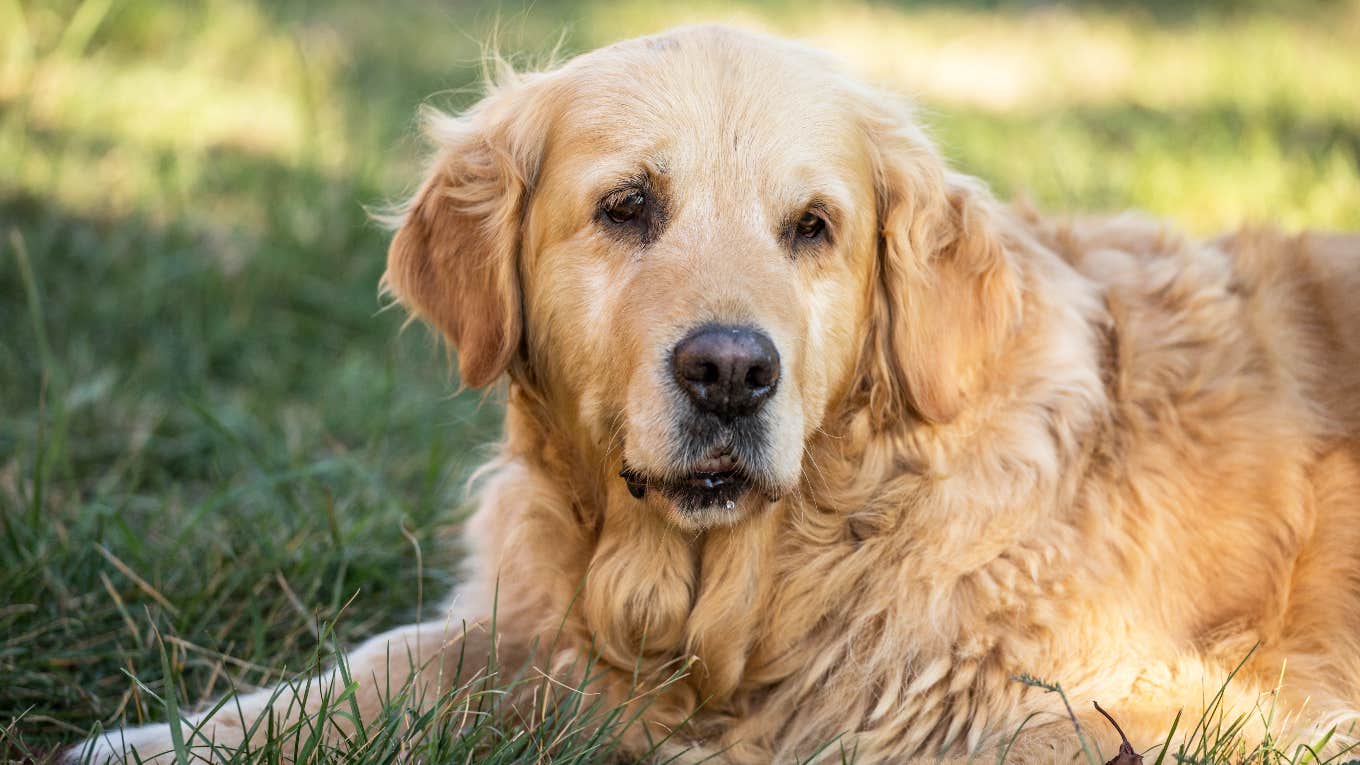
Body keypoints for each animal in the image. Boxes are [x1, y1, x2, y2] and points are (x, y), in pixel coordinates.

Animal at [69, 25, 1360, 762]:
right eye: (627, 205)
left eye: (813, 227)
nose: (732, 372)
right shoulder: (523, 628)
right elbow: (371, 669)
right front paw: (147, 740)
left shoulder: (1131, 704)